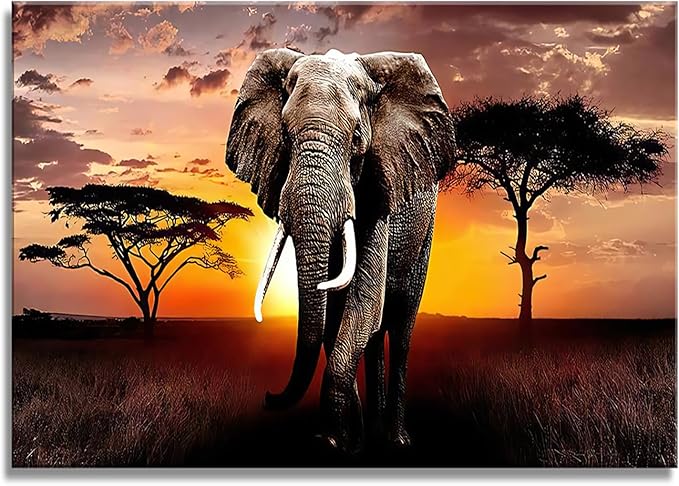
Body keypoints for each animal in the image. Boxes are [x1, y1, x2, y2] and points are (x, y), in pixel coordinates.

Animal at [225, 48, 455, 454]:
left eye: (357, 140)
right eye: (285, 136)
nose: (268, 396)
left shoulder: (378, 194)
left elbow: (362, 304)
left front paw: (332, 441)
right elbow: (337, 317)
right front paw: (345, 441)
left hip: (424, 232)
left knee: (400, 325)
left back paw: (396, 440)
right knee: (375, 334)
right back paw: (375, 432)